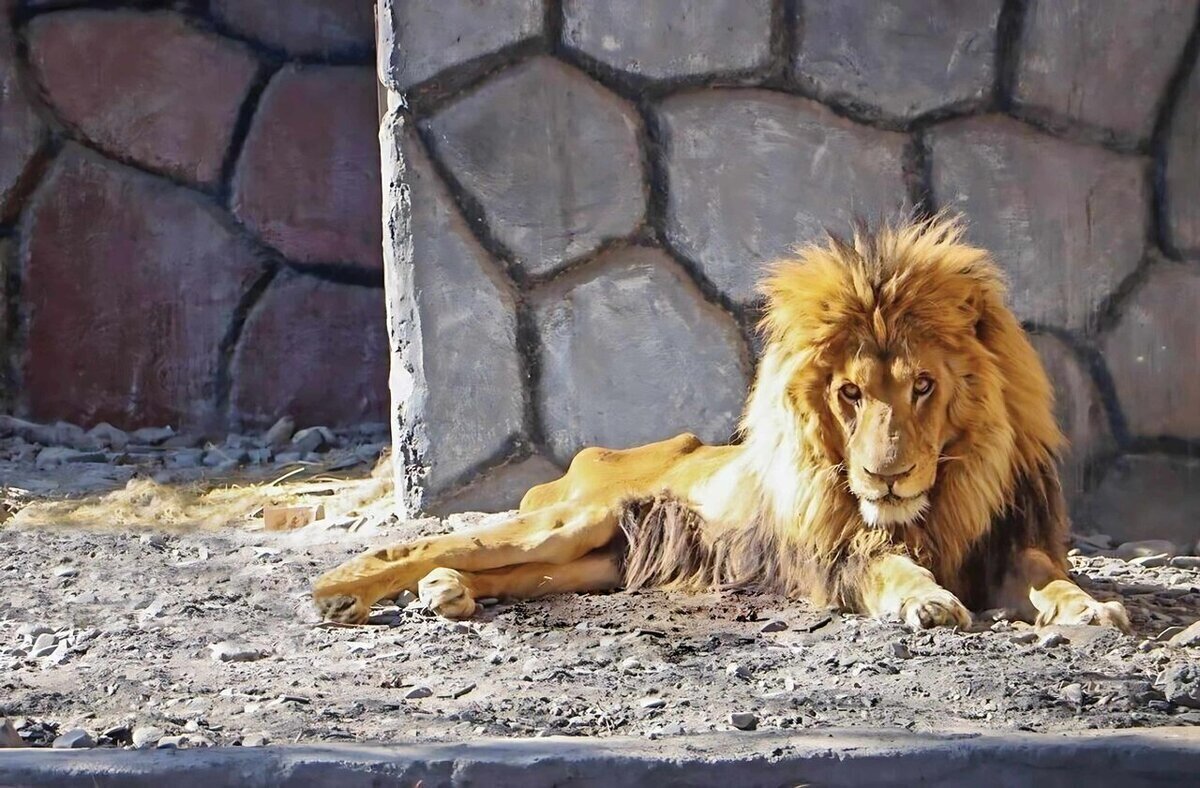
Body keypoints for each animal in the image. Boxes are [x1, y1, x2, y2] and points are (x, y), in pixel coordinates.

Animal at [314, 214, 1128, 633]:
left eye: (923, 386)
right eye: (850, 393)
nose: (887, 476)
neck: (939, 502)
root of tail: (593, 455)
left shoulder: (1006, 545)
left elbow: (1049, 579)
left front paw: (1092, 607)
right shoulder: (835, 555)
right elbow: (889, 566)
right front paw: (926, 599)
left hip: (600, 561)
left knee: (510, 575)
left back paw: (447, 592)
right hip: (572, 522)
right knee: (432, 543)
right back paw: (345, 591)